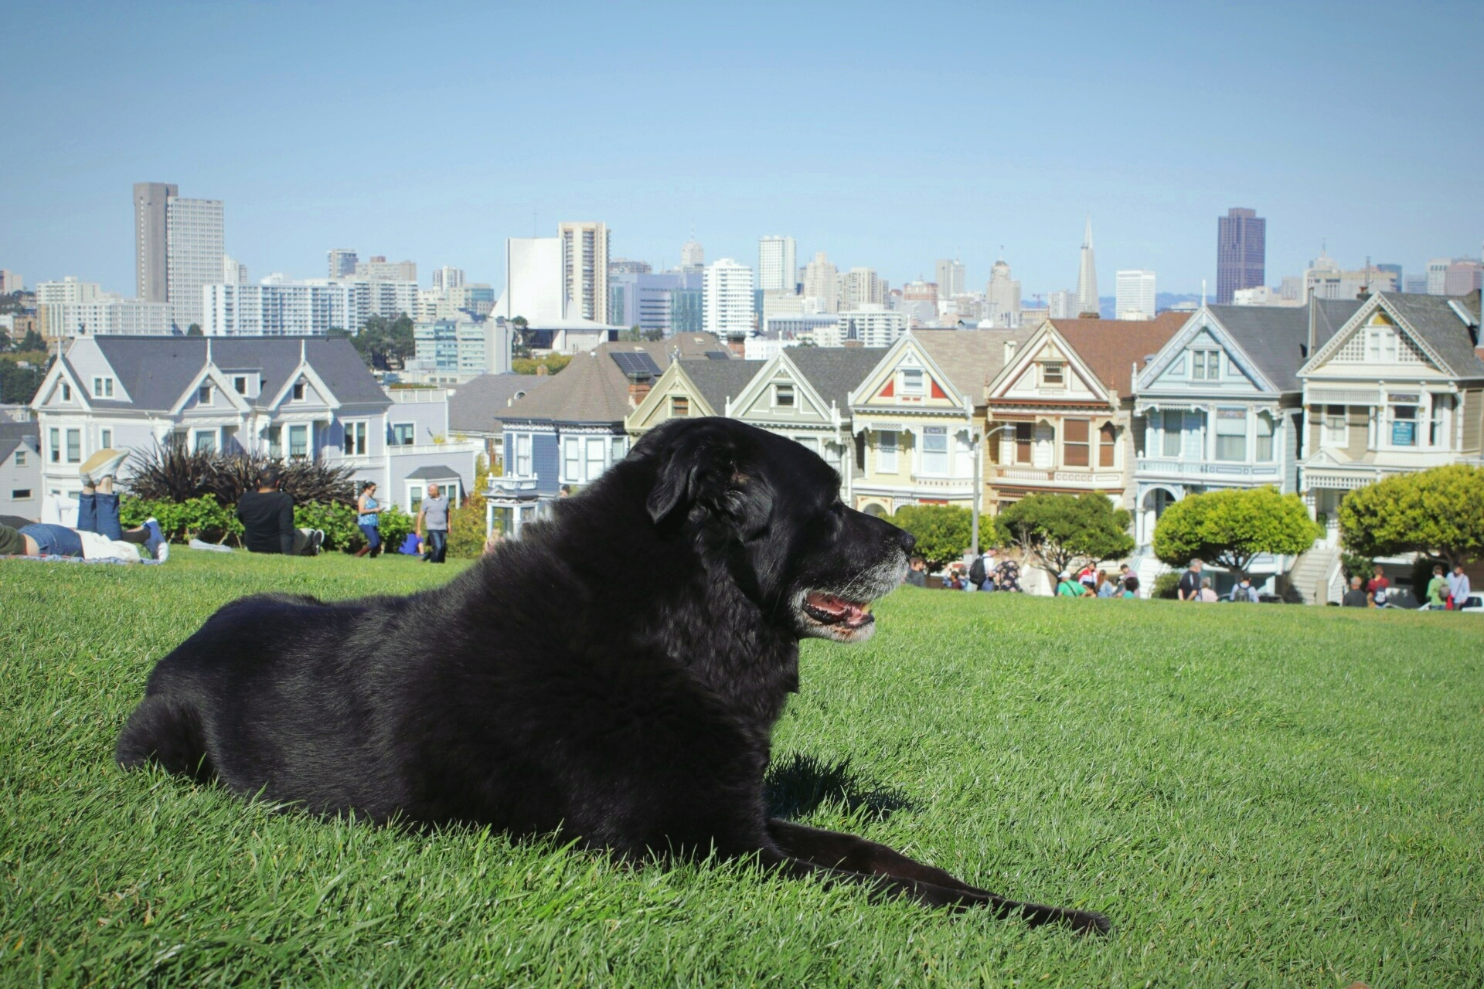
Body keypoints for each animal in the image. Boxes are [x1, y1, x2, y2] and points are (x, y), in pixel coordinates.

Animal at [121, 415, 1110, 932]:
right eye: (829, 507)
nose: (913, 541)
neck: (675, 630)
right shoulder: (711, 847)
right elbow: (876, 884)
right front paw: (1052, 922)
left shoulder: (742, 816)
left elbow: (887, 859)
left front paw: (1039, 905)